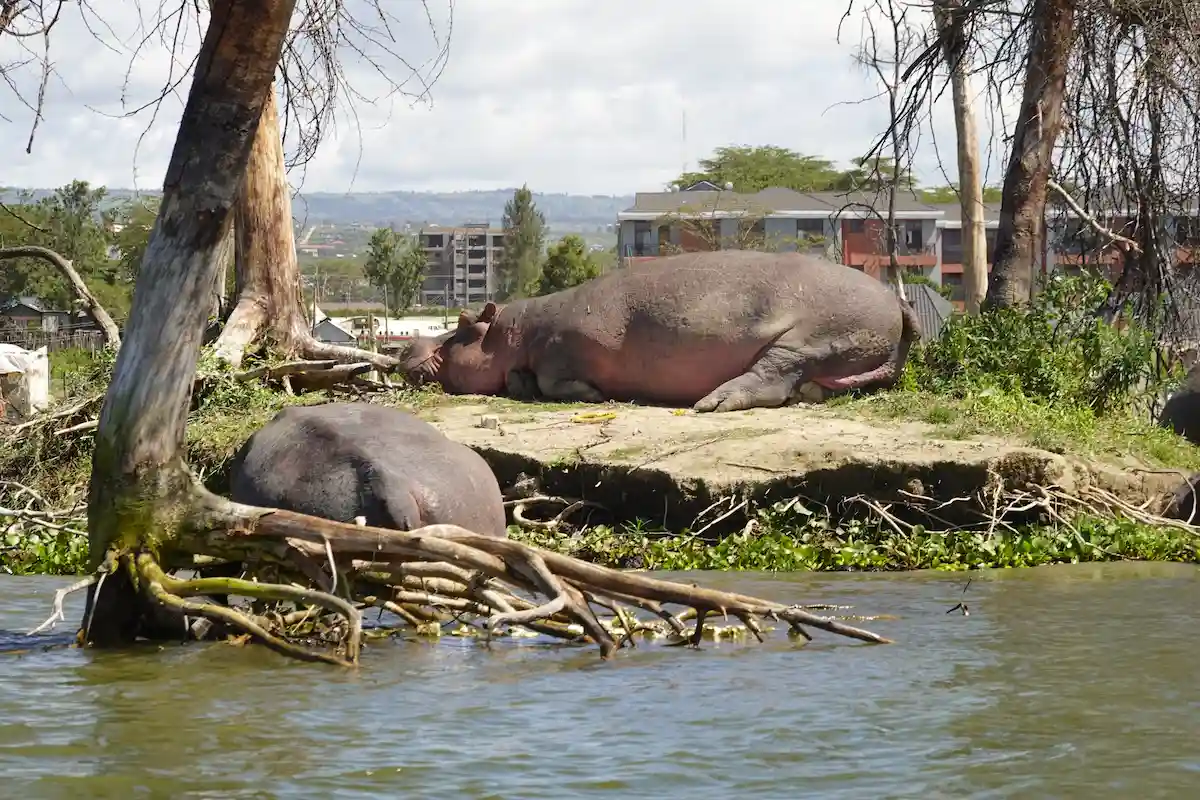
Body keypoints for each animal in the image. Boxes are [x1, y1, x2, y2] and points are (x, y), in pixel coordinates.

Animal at [402, 250, 922, 412]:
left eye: (462, 325)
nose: (410, 347)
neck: (517, 331)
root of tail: (895, 299)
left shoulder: (566, 346)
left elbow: (554, 378)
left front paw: (592, 396)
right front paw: (520, 382)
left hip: (810, 336)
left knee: (774, 375)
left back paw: (710, 402)